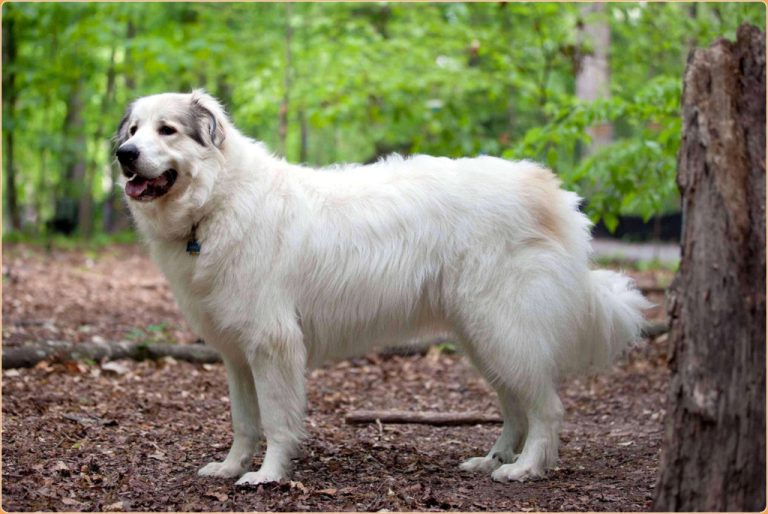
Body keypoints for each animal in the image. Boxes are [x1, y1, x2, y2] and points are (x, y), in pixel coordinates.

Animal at [117, 89, 652, 484]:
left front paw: (267, 476)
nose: (124, 155)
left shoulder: (273, 345)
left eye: (167, 130)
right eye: (133, 130)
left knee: (547, 410)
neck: (217, 202)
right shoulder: (237, 355)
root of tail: (550, 190)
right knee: (516, 408)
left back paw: (524, 469)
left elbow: (276, 420)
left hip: (505, 330)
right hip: (483, 338)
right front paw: (230, 468)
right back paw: (493, 460)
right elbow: (244, 422)